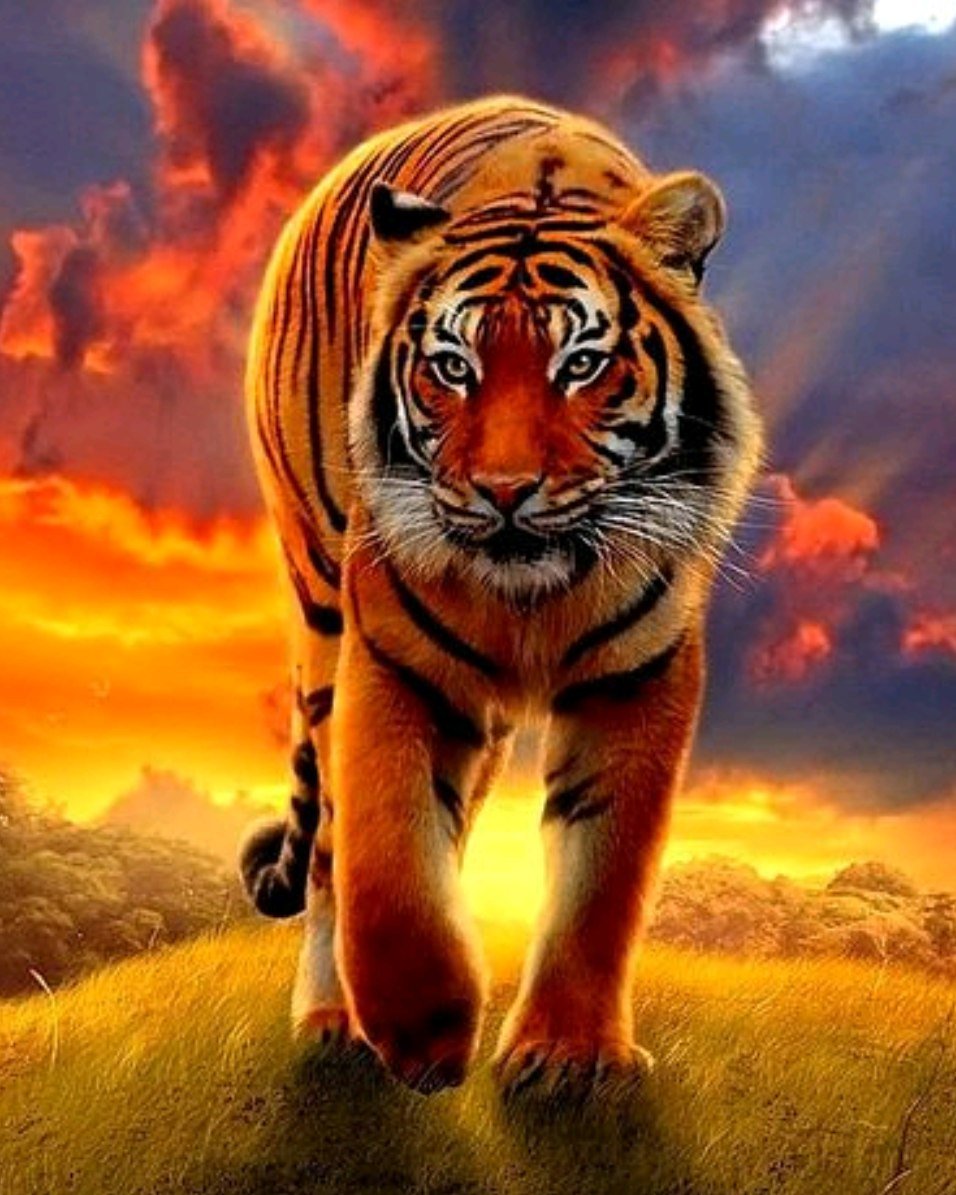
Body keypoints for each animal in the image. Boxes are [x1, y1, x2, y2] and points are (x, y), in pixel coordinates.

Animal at [239, 94, 762, 1096]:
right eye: (453, 367)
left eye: (581, 363)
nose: (505, 490)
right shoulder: (394, 658)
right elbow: (388, 855)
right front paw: (420, 1029)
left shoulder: (638, 677)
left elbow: (603, 877)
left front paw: (566, 1055)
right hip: (321, 607)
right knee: (327, 844)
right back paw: (332, 1019)